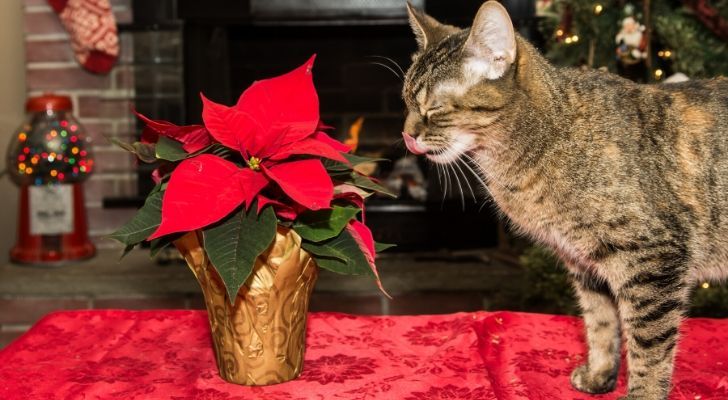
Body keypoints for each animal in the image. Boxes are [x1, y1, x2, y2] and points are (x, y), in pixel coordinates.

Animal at [400, 1, 728, 398]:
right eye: (405, 100)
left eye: (433, 108)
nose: (405, 135)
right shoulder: (586, 265)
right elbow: (600, 324)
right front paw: (600, 375)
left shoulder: (651, 260)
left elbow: (648, 346)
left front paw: (641, 392)